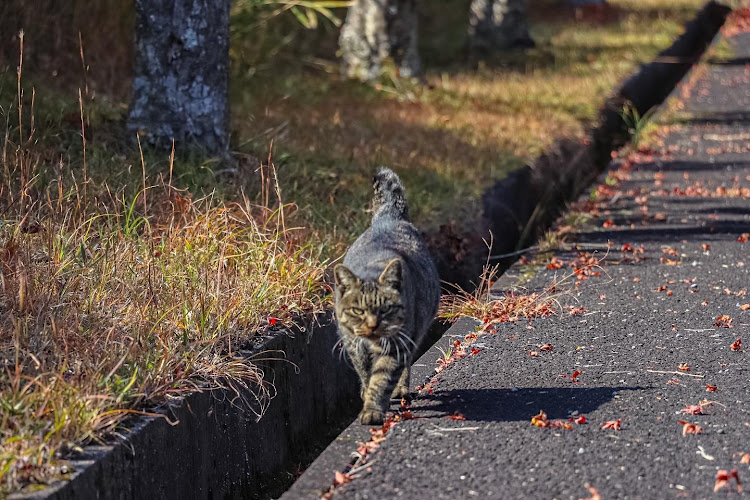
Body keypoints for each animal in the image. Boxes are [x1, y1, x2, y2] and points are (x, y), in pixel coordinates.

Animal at [334, 167, 440, 422]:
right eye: (357, 310)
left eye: (386, 309)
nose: (373, 325)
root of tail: (390, 218)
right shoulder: (354, 345)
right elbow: (365, 373)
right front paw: (366, 394)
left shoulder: (396, 344)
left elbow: (382, 377)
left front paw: (373, 409)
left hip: (414, 331)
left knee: (407, 364)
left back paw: (401, 389)